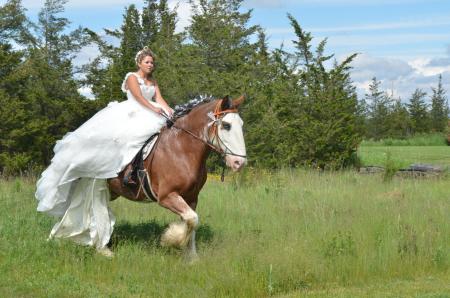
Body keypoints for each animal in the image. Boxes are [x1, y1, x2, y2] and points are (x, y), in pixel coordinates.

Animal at [106, 95, 246, 258]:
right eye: (226, 125)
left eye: (241, 124)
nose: (239, 162)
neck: (181, 149)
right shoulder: (167, 196)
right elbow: (192, 219)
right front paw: (171, 238)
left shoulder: (191, 197)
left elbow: (192, 223)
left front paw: (192, 257)